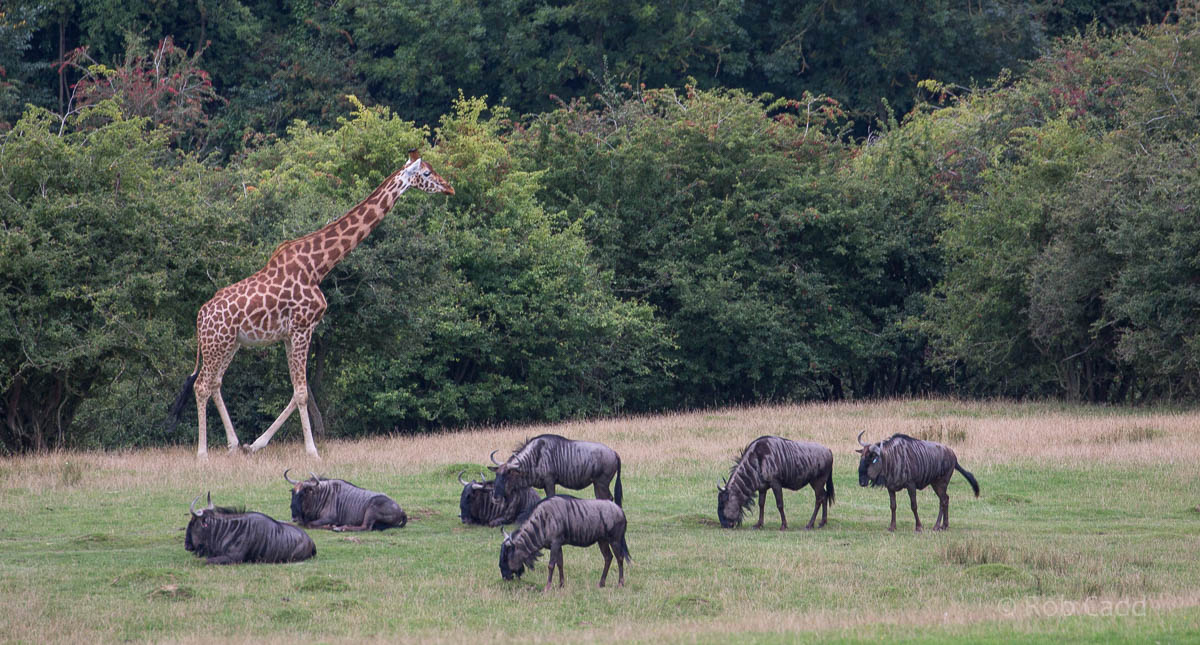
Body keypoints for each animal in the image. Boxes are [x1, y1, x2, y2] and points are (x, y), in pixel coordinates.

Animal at [167, 149, 454, 459]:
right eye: (426, 173)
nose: (449, 187)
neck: (318, 266)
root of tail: (200, 316)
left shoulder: (291, 333)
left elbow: (297, 391)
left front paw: (256, 444)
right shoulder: (302, 327)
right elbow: (303, 392)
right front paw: (312, 451)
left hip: (230, 344)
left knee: (215, 384)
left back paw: (233, 445)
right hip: (216, 344)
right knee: (201, 386)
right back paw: (203, 454)